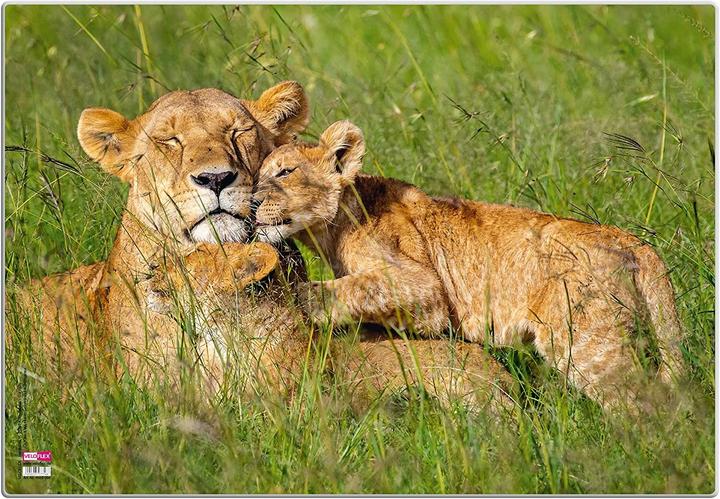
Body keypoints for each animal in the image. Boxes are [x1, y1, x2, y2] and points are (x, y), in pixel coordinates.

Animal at [252, 120, 684, 409]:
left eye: (285, 172)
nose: (252, 203)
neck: (331, 228)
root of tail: (631, 241)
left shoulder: (424, 288)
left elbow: (354, 288)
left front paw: (299, 295)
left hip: (587, 344)